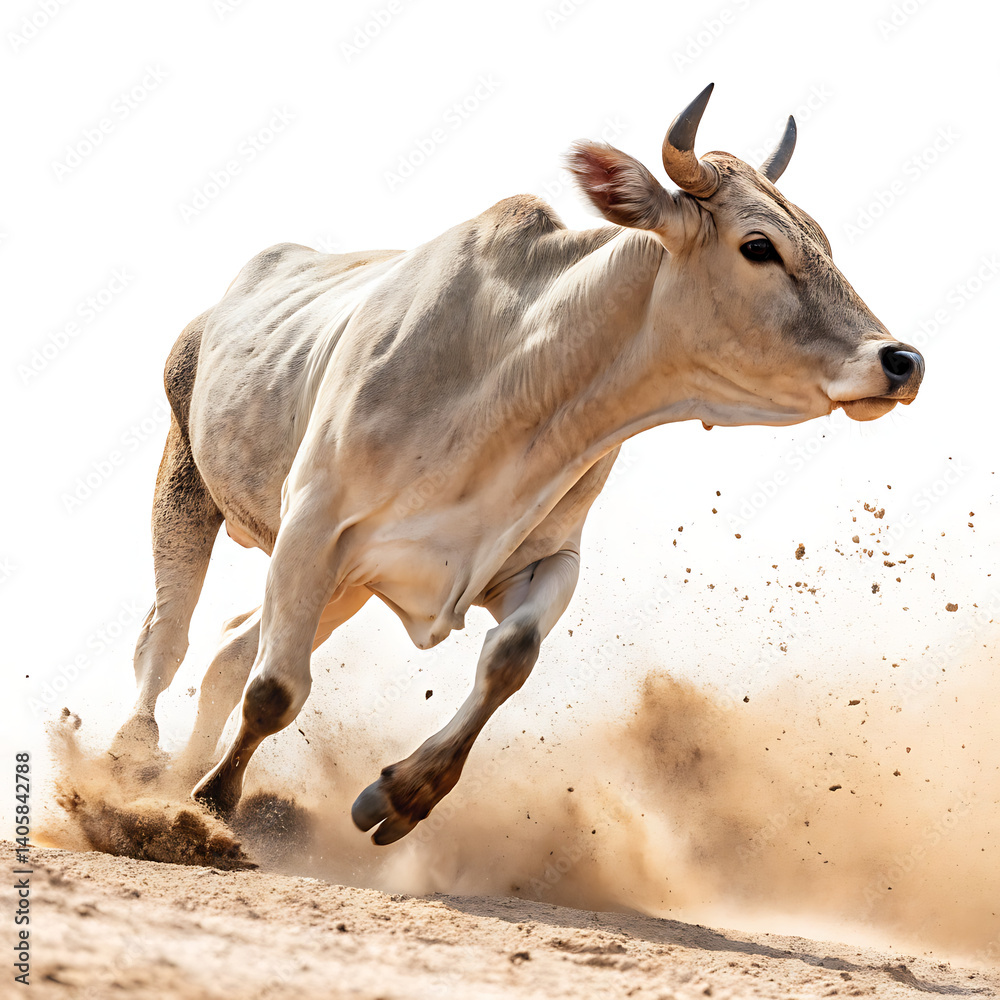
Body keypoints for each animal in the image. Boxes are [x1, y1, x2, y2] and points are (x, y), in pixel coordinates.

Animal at [115, 84, 923, 846]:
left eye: (822, 240)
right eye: (759, 246)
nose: (901, 361)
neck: (514, 379)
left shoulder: (540, 556)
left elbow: (512, 654)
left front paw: (405, 794)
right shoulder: (314, 526)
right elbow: (276, 689)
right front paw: (213, 800)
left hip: (342, 585)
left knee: (227, 651)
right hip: (187, 483)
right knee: (169, 636)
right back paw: (136, 761)